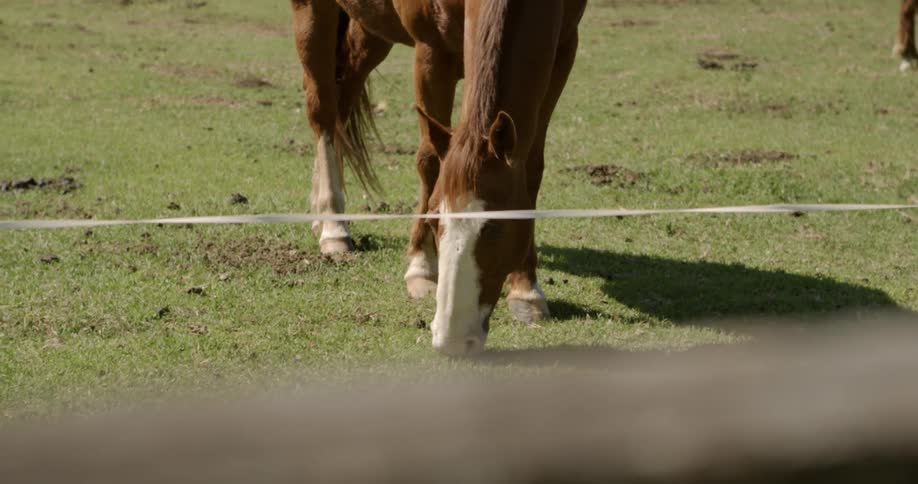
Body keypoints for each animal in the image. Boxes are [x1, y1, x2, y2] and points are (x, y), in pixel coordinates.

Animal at [417, 0, 586, 355]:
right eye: (433, 221)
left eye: (496, 227)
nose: (452, 341)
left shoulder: (564, 49)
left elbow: (532, 164)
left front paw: (526, 291)